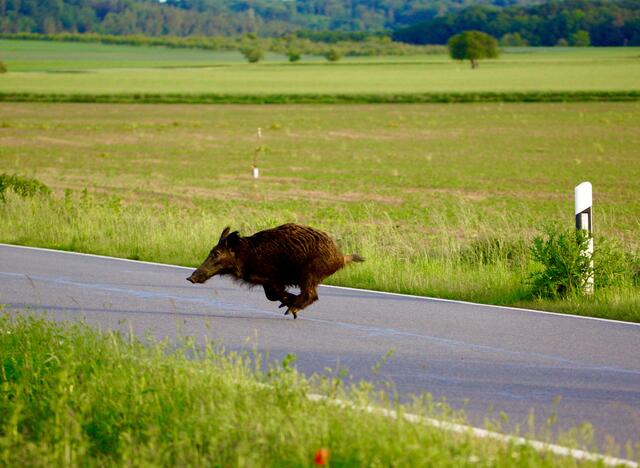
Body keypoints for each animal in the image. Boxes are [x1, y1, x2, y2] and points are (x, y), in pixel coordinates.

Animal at [187, 223, 364, 319]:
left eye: (216, 253)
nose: (190, 278)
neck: (244, 256)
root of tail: (340, 257)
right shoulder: (266, 280)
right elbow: (271, 295)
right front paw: (285, 302)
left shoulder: (272, 277)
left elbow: (273, 294)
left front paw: (287, 303)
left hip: (308, 273)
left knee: (312, 294)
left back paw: (291, 311)